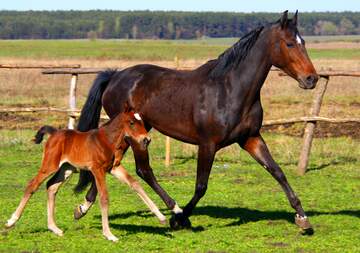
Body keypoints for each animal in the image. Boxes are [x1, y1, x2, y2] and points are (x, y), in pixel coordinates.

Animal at [4, 108, 165, 241]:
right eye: (131, 122)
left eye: (142, 122)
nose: (146, 139)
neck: (107, 140)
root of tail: (54, 133)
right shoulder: (97, 170)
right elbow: (104, 197)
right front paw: (109, 234)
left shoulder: (113, 168)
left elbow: (135, 184)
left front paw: (161, 217)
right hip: (49, 166)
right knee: (32, 185)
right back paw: (11, 221)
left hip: (67, 169)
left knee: (51, 186)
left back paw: (54, 228)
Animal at [47, 11, 318, 233]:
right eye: (289, 43)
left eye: (304, 42)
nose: (311, 79)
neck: (230, 89)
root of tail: (115, 76)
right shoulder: (208, 144)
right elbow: (201, 186)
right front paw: (181, 218)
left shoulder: (250, 139)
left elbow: (277, 172)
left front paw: (302, 219)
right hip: (135, 137)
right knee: (144, 170)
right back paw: (173, 208)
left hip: (134, 133)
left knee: (113, 164)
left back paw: (83, 207)